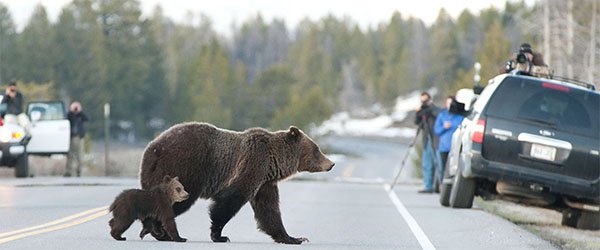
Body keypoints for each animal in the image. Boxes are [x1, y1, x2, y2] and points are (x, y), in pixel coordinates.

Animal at [139, 123, 336, 244]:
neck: (274, 163)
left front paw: (294, 238)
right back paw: (159, 231)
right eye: (317, 149)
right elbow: (230, 201)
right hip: (184, 167)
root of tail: (152, 148)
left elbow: (269, 211)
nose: (331, 163)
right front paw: (219, 235)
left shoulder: (264, 183)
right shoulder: (252, 165)